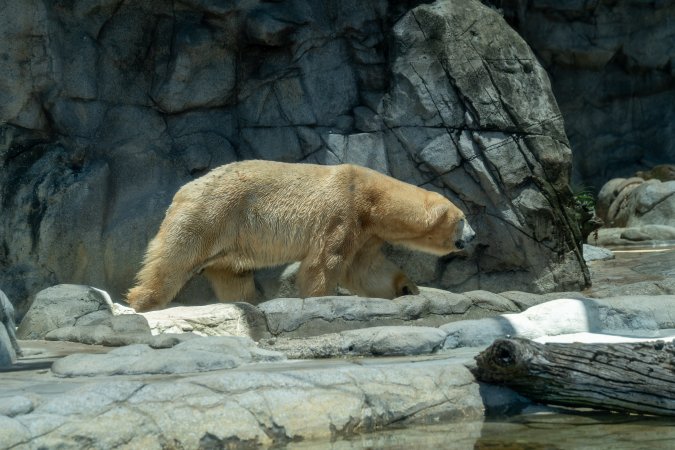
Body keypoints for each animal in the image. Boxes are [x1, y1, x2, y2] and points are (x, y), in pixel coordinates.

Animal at [126, 160, 475, 312]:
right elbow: (326, 261)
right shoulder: (343, 211)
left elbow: (364, 268)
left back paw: (251, 301)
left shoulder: (366, 230)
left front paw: (405, 287)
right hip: (213, 213)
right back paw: (141, 300)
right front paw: (321, 298)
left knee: (232, 274)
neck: (373, 196)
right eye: (463, 218)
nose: (473, 237)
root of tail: (183, 191)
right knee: (175, 257)